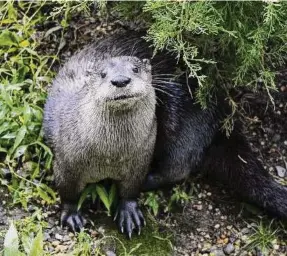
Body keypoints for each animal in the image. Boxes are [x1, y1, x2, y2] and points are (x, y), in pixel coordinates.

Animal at [42, 31, 287, 239]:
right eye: (102, 74)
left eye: (135, 69)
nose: (120, 80)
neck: (109, 156)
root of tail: (222, 115)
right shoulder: (67, 161)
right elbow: (67, 191)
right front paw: (71, 214)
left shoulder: (138, 161)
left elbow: (131, 188)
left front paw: (128, 211)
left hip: (183, 122)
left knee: (178, 167)